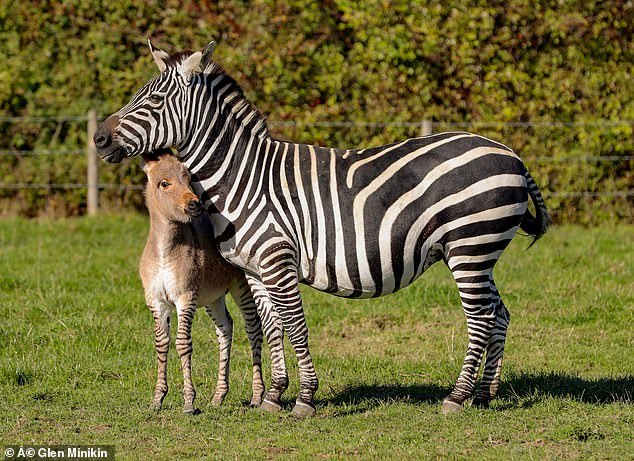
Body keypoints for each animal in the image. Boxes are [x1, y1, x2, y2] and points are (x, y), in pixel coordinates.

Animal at [94, 41, 548, 416]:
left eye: (153, 98)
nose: (98, 139)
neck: (242, 177)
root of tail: (511, 153)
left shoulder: (278, 261)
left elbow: (295, 326)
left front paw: (305, 399)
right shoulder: (256, 270)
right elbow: (271, 328)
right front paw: (274, 396)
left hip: (470, 246)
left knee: (481, 317)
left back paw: (457, 397)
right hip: (479, 253)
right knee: (499, 312)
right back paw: (485, 394)